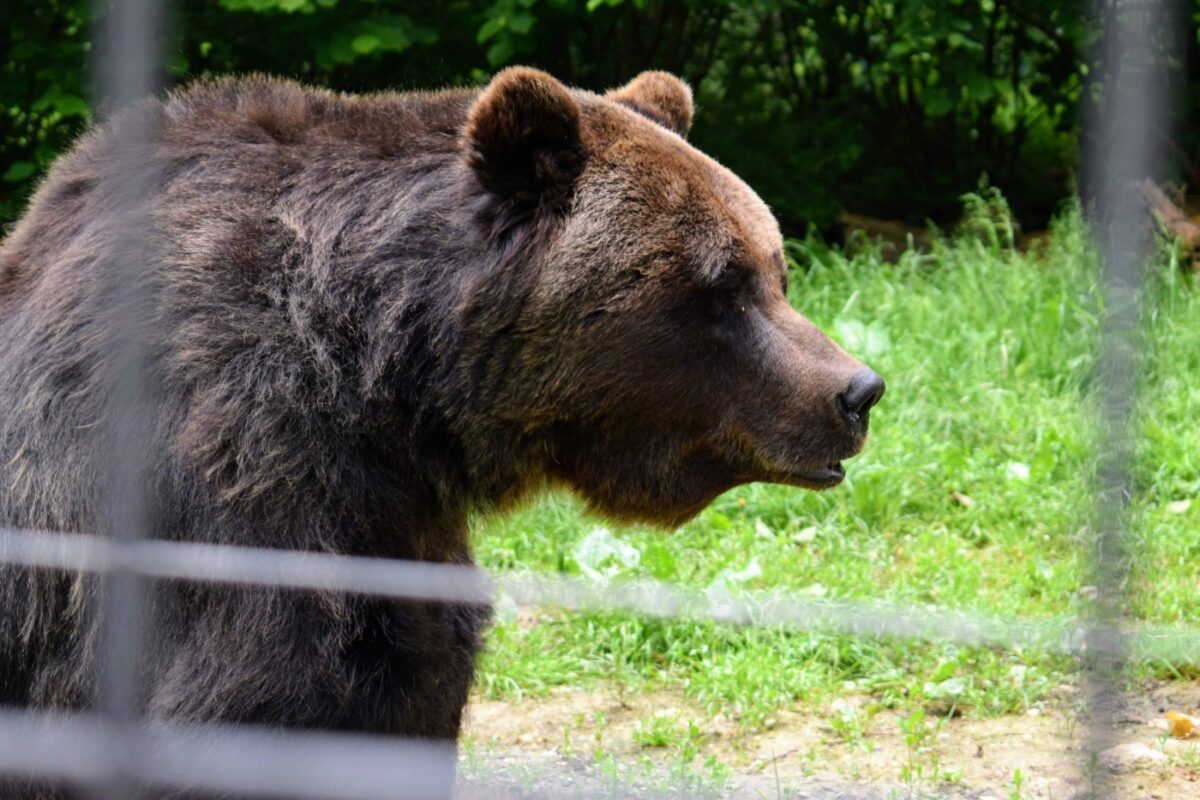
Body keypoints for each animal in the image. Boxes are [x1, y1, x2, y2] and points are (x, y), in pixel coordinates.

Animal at [0, 68, 884, 798]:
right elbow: (256, 702)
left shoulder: (395, 522)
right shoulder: (225, 478)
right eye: (722, 285)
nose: (858, 391)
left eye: (775, 271)